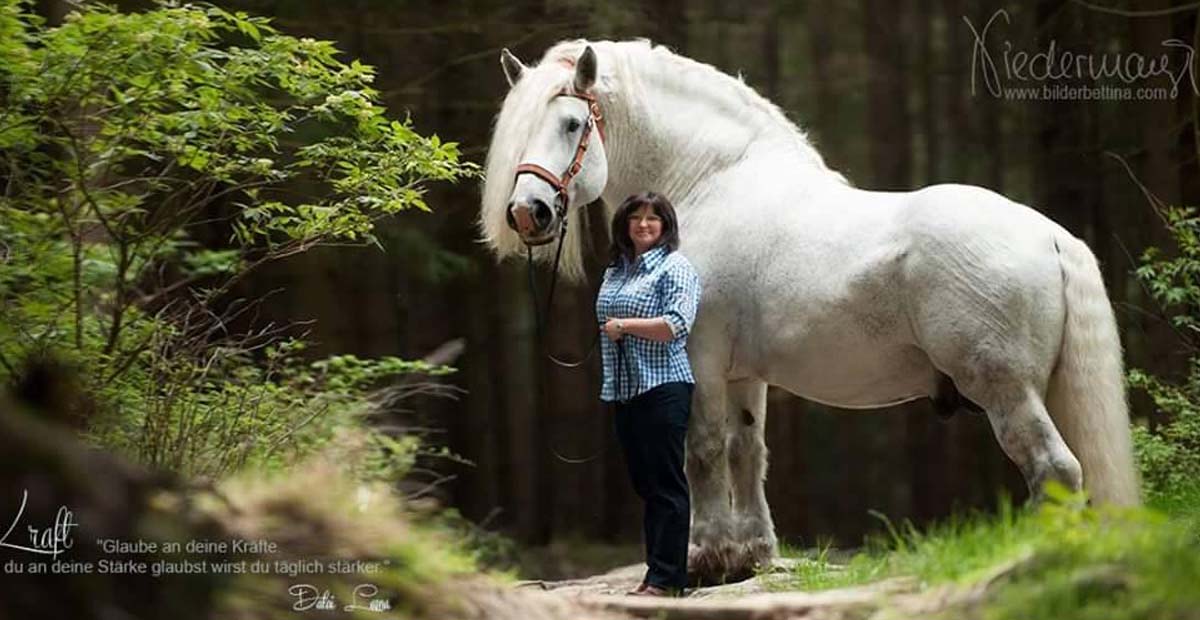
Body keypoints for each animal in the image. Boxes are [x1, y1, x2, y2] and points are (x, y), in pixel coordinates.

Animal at [475, 38, 1132, 580]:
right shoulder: (744, 374)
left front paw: (705, 557)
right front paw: (754, 555)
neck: (711, 182)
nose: (528, 212)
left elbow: (703, 451)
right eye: (517, 127)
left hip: (1005, 389)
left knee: (1055, 469)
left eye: (570, 123)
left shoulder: (699, 357)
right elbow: (746, 451)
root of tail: (1049, 234)